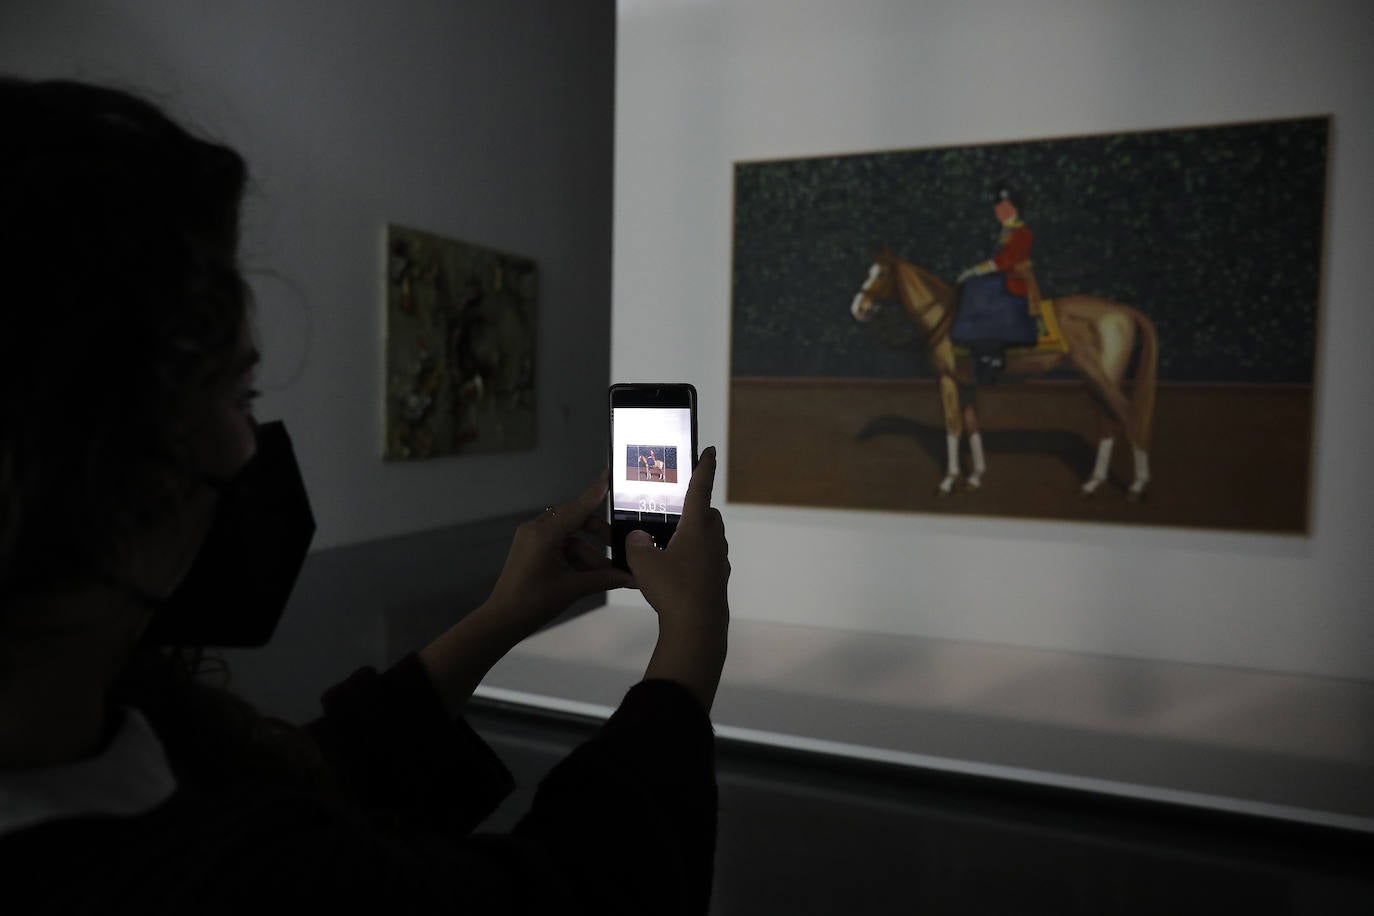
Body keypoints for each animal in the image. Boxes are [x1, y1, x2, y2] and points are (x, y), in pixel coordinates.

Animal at [851, 252, 1154, 502]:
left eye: (882, 274)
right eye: (868, 272)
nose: (859, 309)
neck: (945, 317)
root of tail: (1125, 311)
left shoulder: (947, 380)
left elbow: (953, 426)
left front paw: (948, 482)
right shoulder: (966, 383)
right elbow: (972, 425)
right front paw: (975, 477)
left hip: (1103, 379)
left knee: (1130, 417)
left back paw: (1137, 486)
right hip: (1092, 381)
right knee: (1107, 425)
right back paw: (1092, 484)